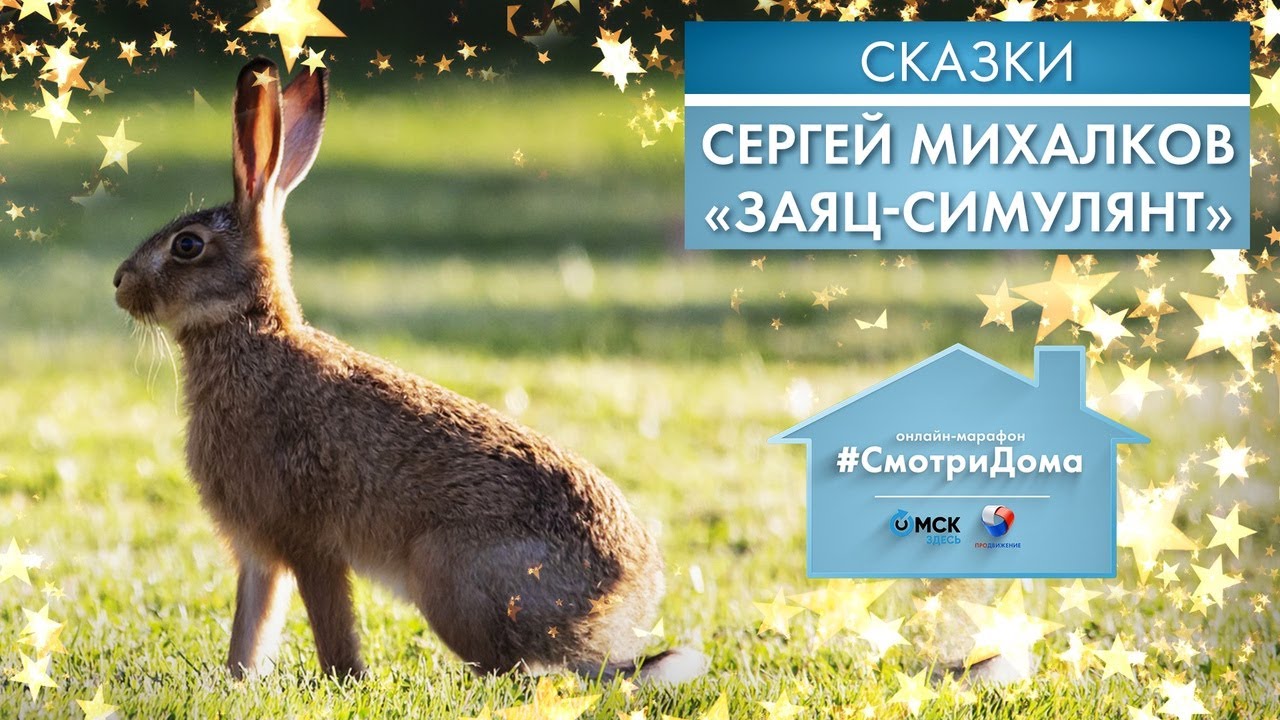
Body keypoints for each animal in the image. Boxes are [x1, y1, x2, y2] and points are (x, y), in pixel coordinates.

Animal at [112, 58, 707, 684]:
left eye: (187, 245)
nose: (120, 283)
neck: (249, 329)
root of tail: (619, 604)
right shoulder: (259, 551)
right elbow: (252, 625)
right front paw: (239, 679)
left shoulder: (308, 540)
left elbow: (330, 622)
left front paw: (345, 679)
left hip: (449, 578)